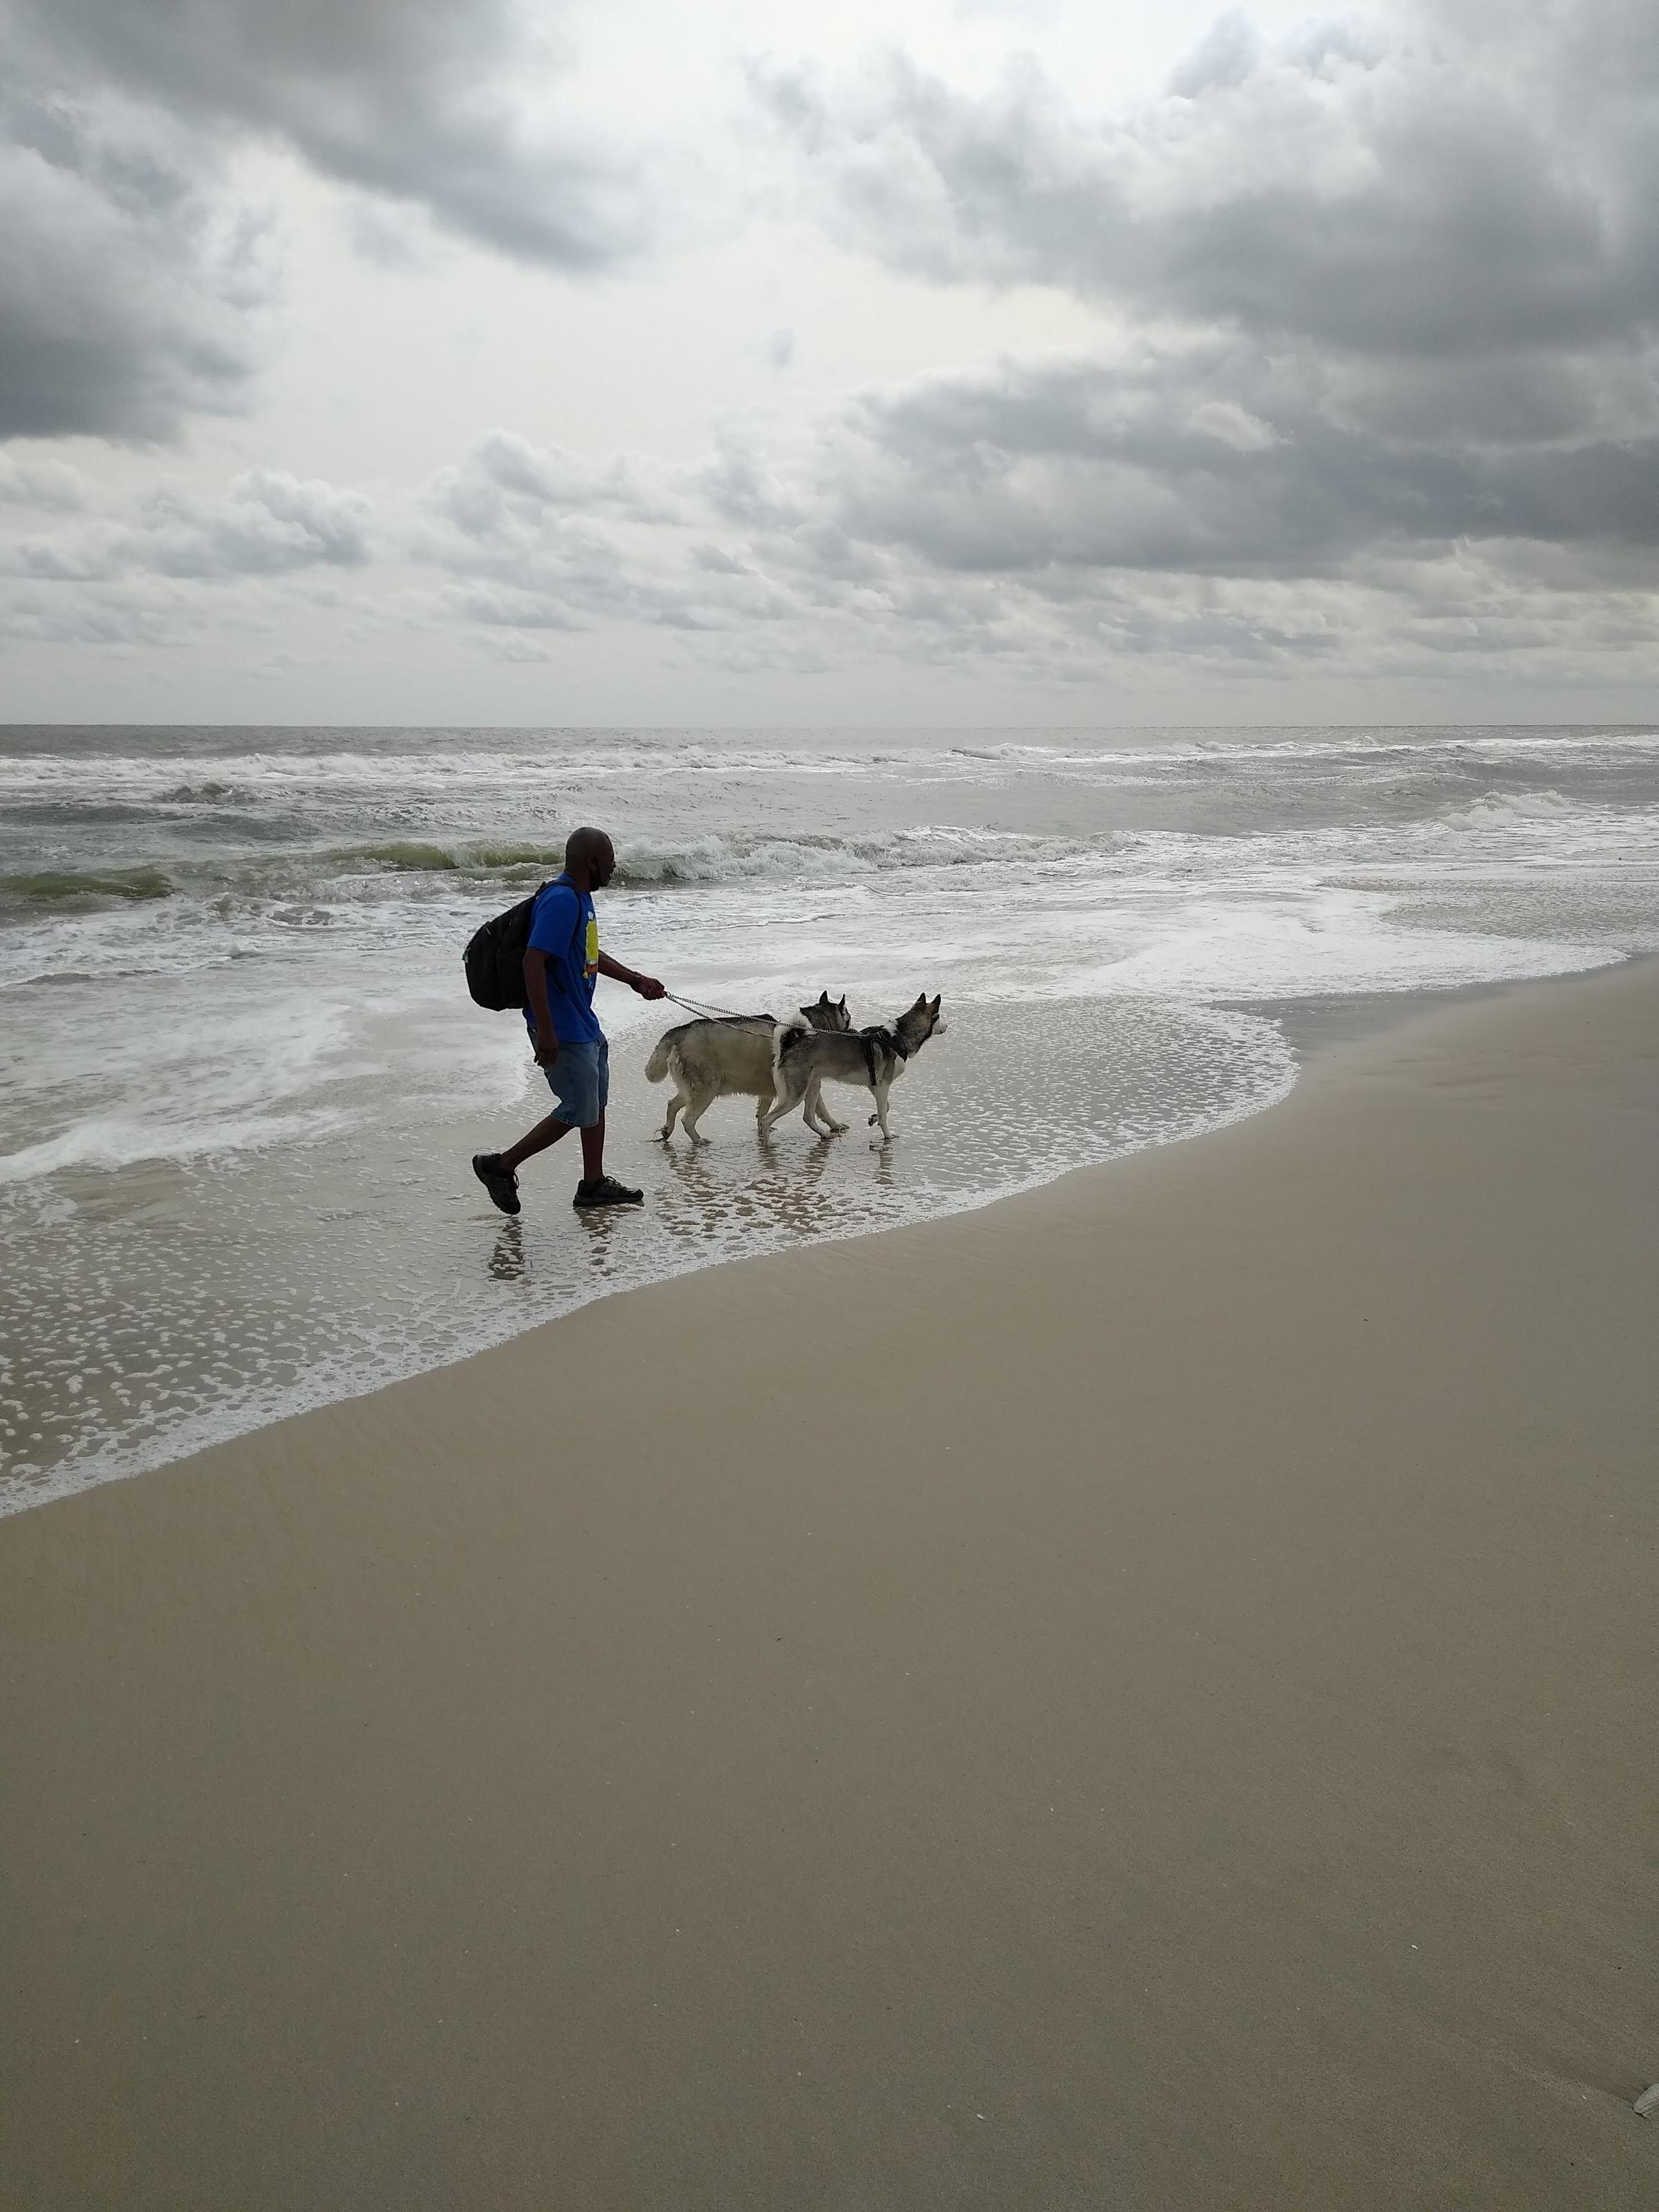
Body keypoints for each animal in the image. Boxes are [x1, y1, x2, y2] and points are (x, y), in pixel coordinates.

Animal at [650, 1000, 858, 1150]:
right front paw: (834, 1125)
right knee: (688, 1119)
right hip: (706, 1089)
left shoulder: (773, 1090)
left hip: (692, 1087)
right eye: (848, 1019)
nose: (856, 1032)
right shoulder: (807, 1083)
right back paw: (698, 1140)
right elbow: (821, 1107)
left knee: (672, 1104)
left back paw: (667, 1130)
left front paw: (763, 1130)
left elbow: (763, 1113)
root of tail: (681, 1031)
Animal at [765, 1000, 946, 1141]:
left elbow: (885, 1107)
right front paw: (887, 1135)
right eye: (940, 1017)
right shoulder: (883, 1086)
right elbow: (884, 1115)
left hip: (813, 1087)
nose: (947, 1025)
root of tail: (788, 1046)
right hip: (795, 1096)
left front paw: (873, 1118)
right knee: (766, 1120)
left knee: (808, 1117)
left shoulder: (875, 1086)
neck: (897, 1037)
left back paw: (825, 1134)